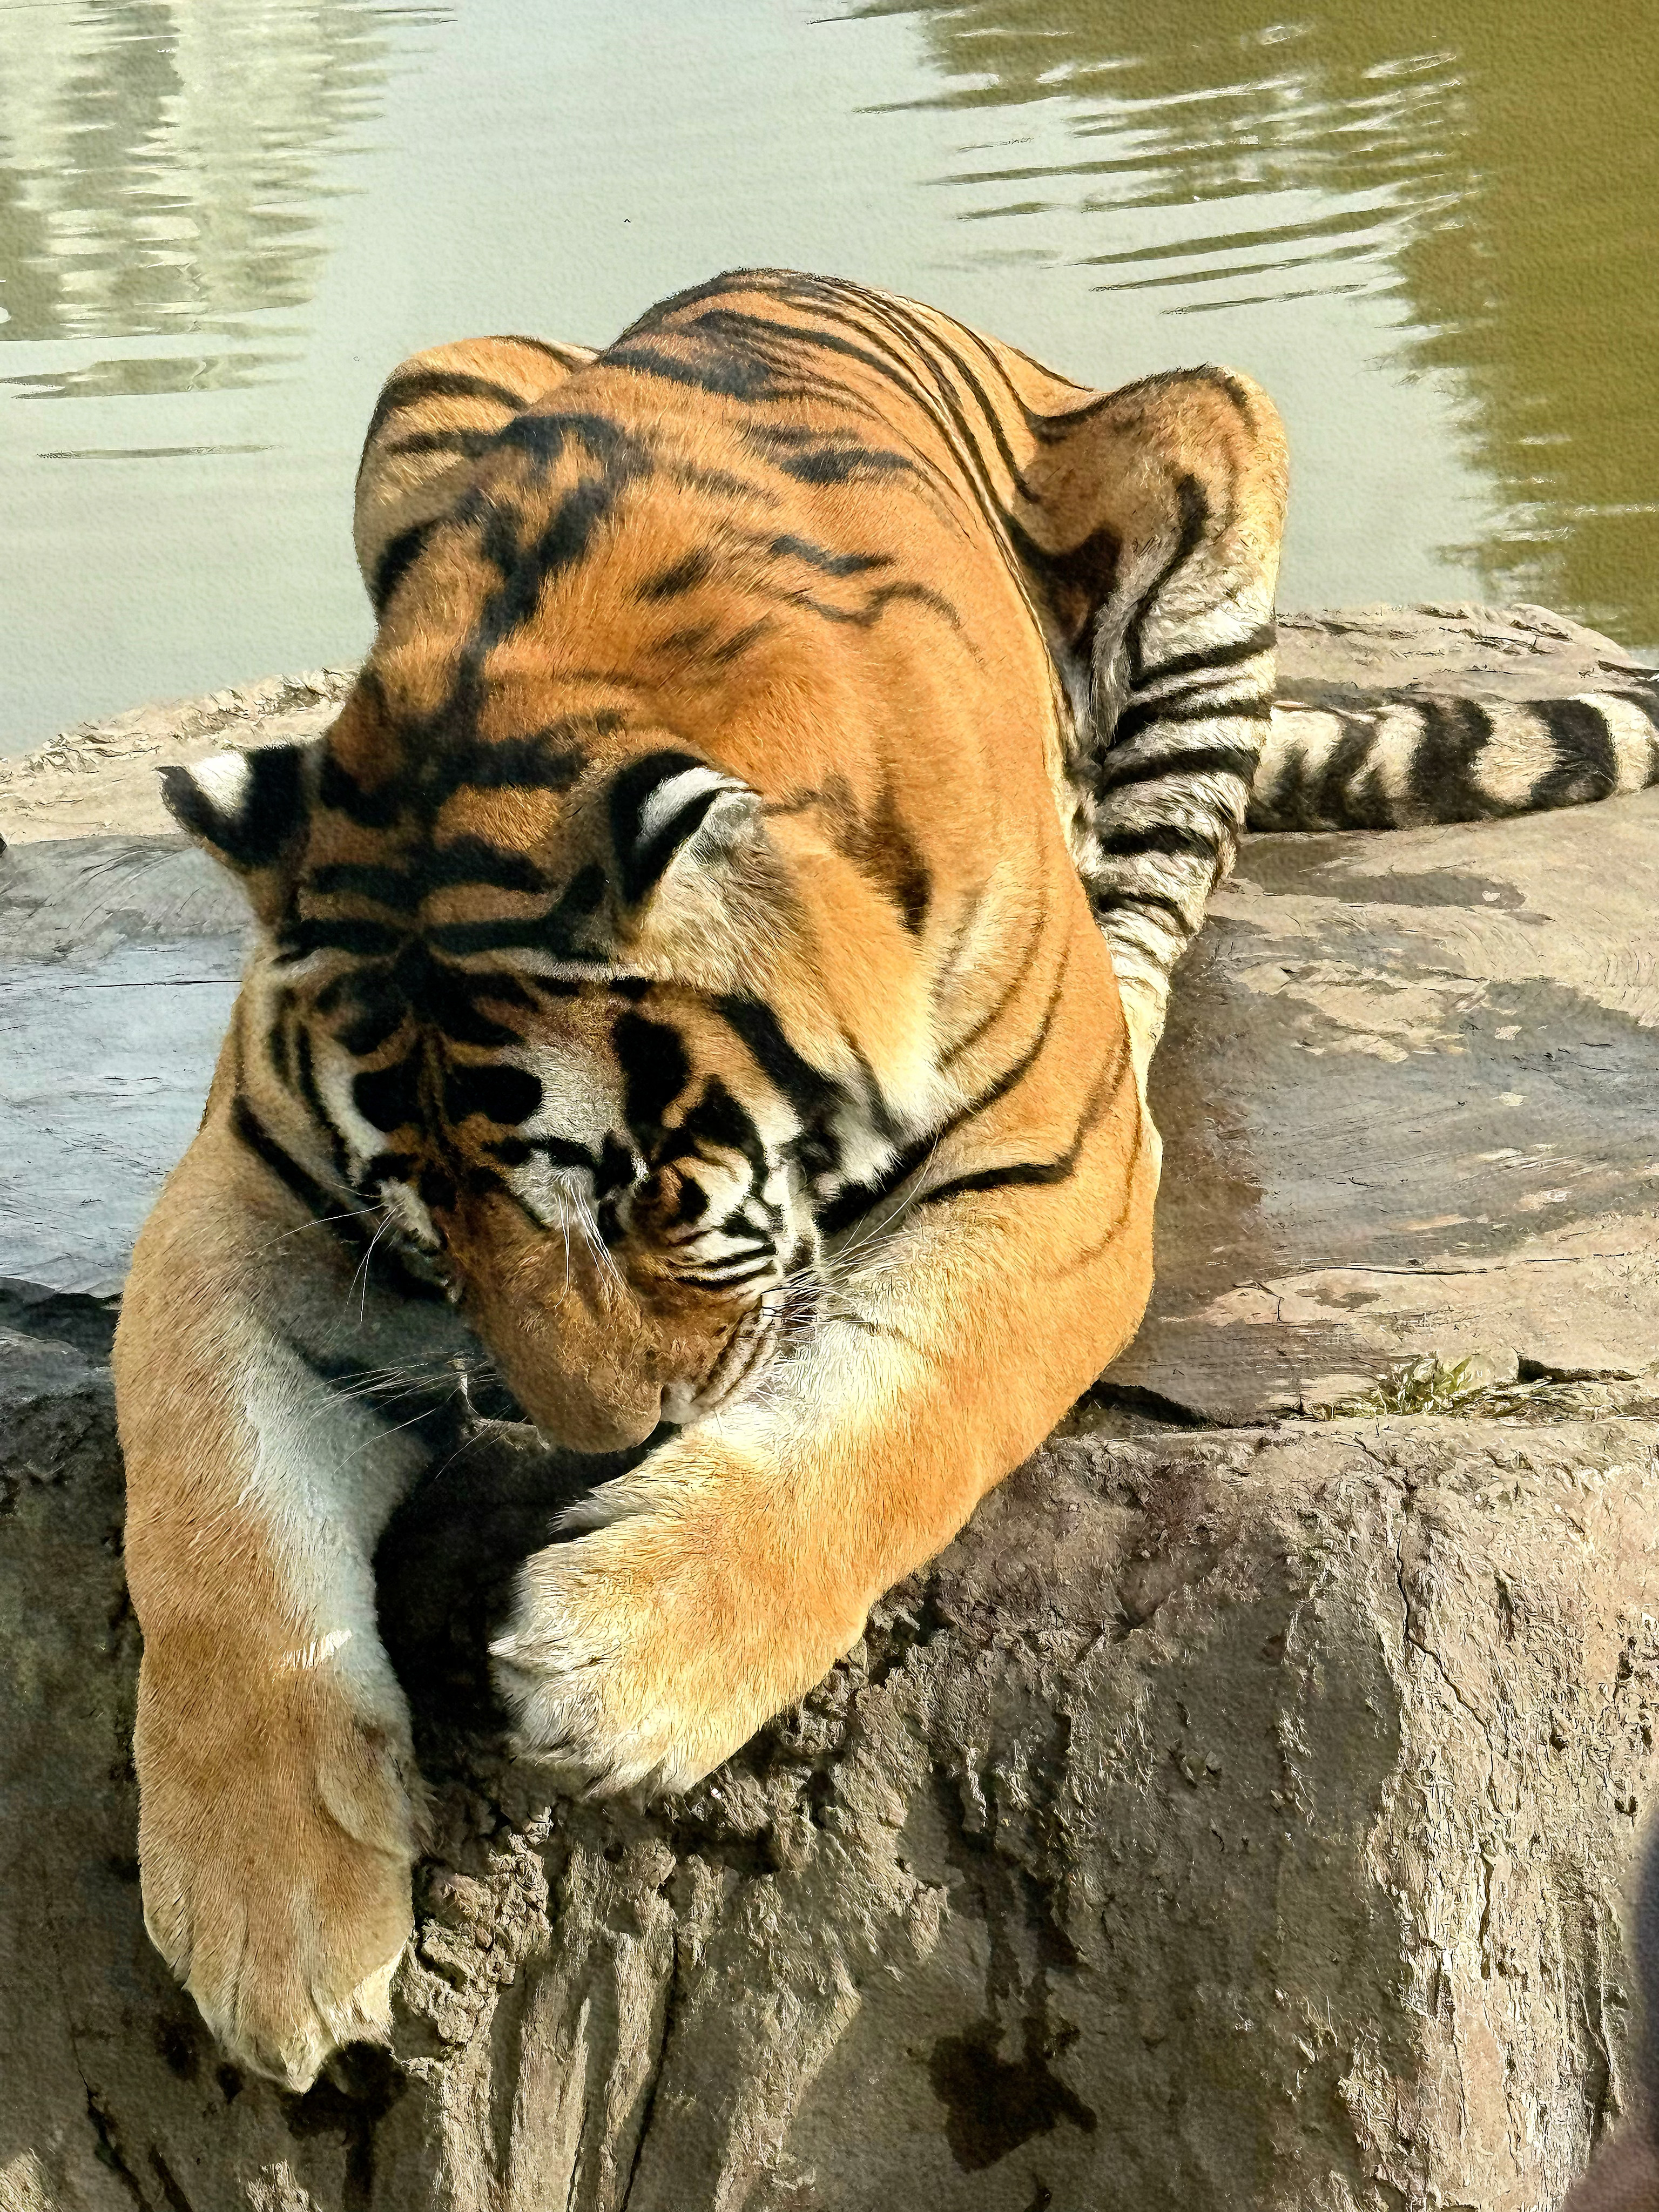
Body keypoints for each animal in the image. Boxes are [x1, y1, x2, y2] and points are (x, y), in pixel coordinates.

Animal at [112, 268, 1659, 2092]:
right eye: (431, 1235)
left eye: (644, 1200)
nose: (598, 1443)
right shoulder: (253, 1195)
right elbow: (211, 1529)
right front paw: (270, 1924)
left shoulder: (1057, 1178)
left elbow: (892, 1414)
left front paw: (621, 1656)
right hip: (440, 376)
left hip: (1208, 452)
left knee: (1164, 879)